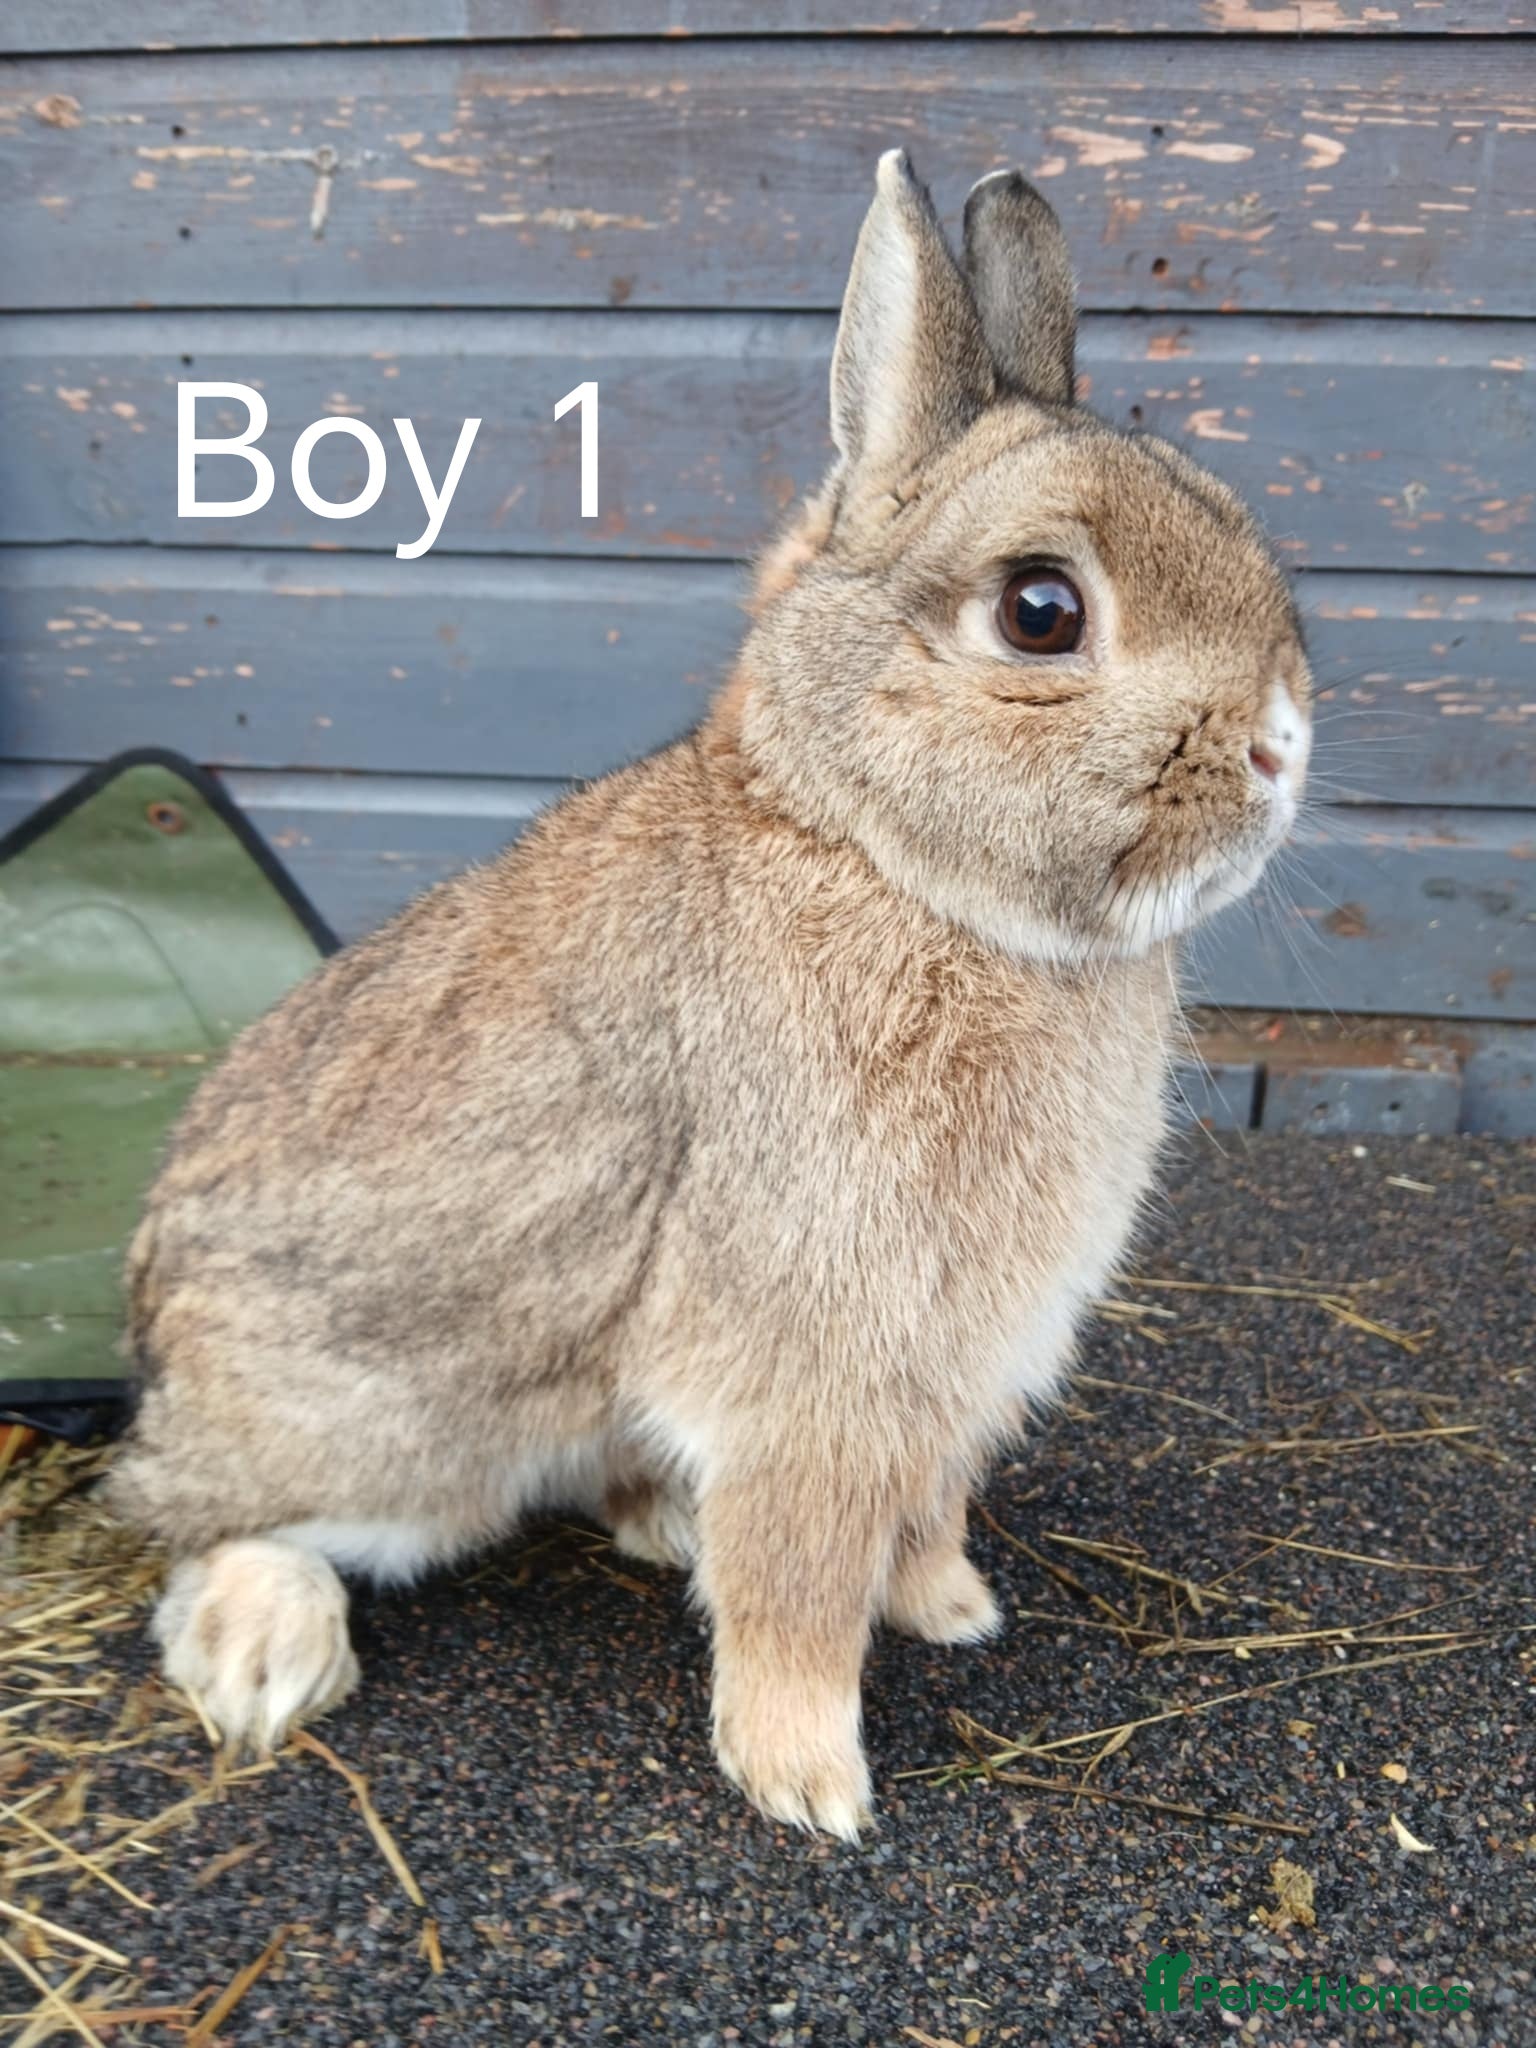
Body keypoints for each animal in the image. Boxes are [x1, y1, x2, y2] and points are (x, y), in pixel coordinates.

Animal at [108, 151, 1312, 1840]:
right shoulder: (813, 1360)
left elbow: (917, 1512)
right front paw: (809, 1783)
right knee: (189, 1521)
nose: (1283, 745)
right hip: (378, 1430)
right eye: (1042, 612)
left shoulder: (940, 1376)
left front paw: (949, 1608)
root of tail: (154, 1329)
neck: (881, 863)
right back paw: (268, 1652)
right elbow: (800, 1576)